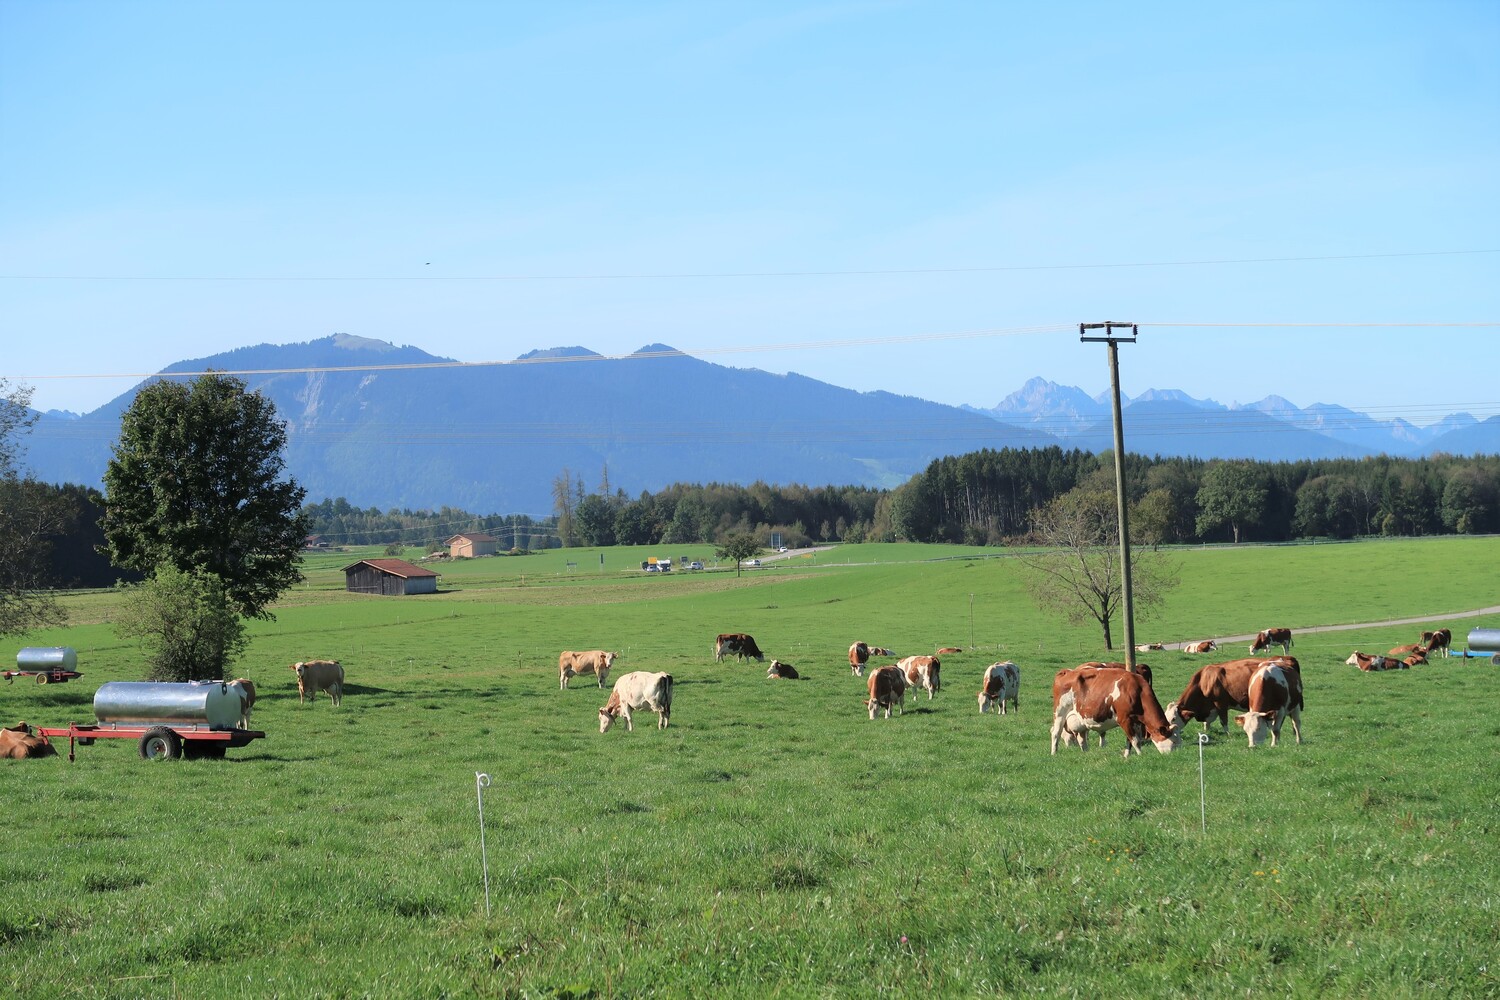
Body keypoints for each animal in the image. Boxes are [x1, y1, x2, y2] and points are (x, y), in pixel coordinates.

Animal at [1158, 656, 1302, 743]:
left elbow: (1223, 721)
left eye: (1173, 718)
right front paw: (1206, 733)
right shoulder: (1211, 708)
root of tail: (1287, 658)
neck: (1204, 680)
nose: (1166, 733)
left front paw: (1228, 735)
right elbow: (1207, 723)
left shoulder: (1220, 704)